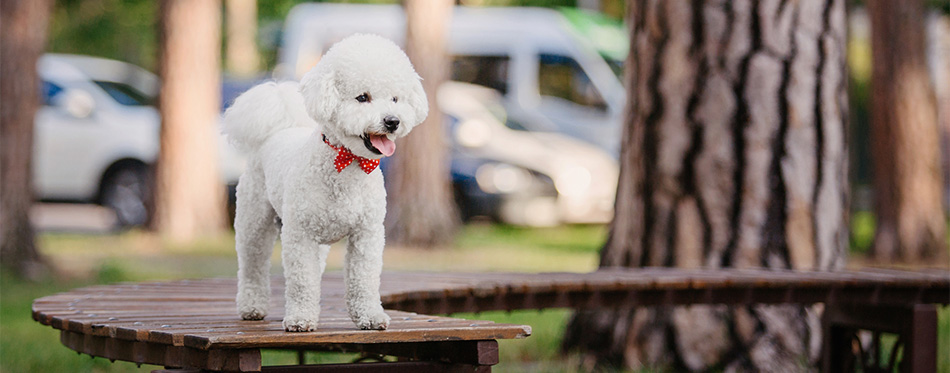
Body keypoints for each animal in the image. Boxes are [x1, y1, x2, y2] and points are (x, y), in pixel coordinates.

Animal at [223, 35, 428, 332]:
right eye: (362, 97)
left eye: (395, 98)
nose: (392, 121)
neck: (346, 165)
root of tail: (279, 129)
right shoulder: (299, 236)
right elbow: (301, 281)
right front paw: (300, 319)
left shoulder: (366, 234)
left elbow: (364, 279)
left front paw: (370, 316)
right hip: (254, 220)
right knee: (252, 262)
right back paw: (252, 307)